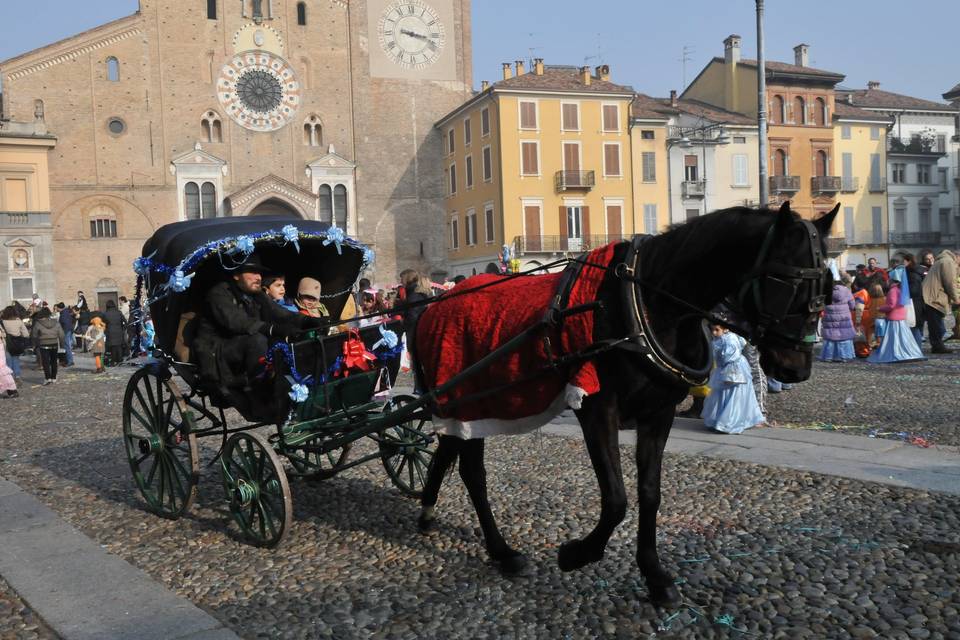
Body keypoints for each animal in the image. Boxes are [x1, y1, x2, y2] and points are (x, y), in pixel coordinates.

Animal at [416, 201, 836, 604]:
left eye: (829, 286)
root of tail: (433, 305)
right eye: (784, 283)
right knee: (473, 473)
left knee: (449, 452)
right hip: (464, 401)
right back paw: (500, 550)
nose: (796, 366)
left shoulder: (658, 414)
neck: (646, 304)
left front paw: (654, 574)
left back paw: (429, 508)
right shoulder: (597, 409)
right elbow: (616, 498)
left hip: (470, 402)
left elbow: (650, 493)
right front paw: (577, 553)